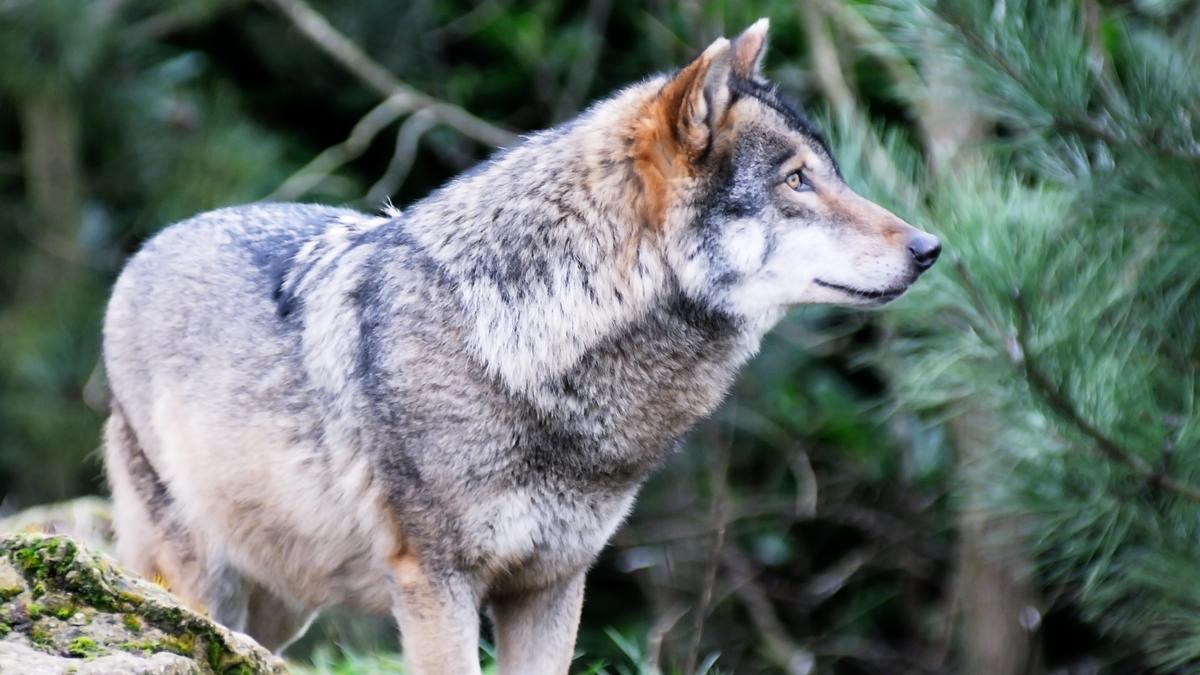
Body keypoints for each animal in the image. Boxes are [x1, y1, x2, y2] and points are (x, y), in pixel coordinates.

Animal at [103, 19, 936, 672]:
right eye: (796, 181)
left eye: (831, 174)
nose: (931, 248)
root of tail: (142, 254)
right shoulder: (437, 582)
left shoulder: (553, 583)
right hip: (207, 579)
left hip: (281, 601)